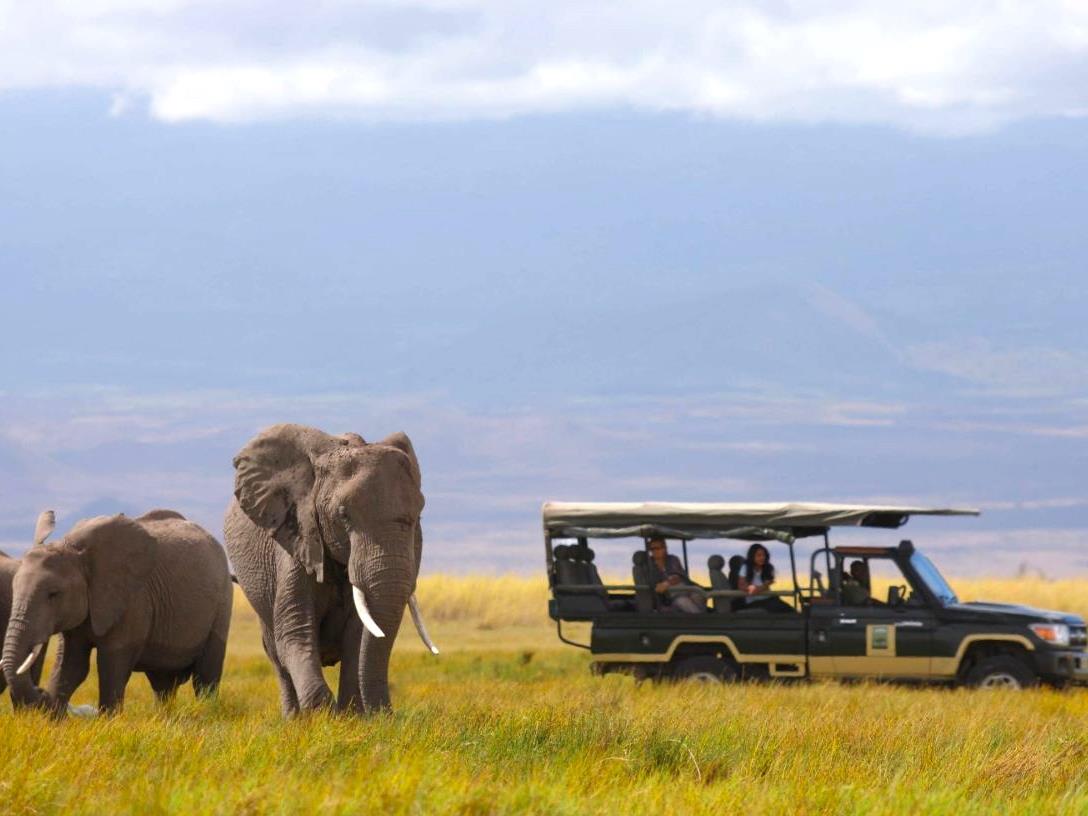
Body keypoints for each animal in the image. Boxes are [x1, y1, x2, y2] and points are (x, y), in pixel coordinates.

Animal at [1, 509, 233, 715]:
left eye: (53, 594)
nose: (40, 692)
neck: (75, 550)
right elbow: (72, 665)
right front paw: (54, 721)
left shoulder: (133, 601)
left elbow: (111, 665)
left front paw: (107, 721)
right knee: (163, 684)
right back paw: (164, 718)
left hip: (222, 602)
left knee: (206, 675)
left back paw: (206, 713)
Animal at [224, 423, 438, 717]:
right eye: (343, 516)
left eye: (418, 516)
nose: (387, 714)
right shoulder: (297, 537)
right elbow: (295, 632)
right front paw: (323, 715)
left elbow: (358, 637)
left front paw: (352, 717)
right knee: (276, 655)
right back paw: (293, 719)